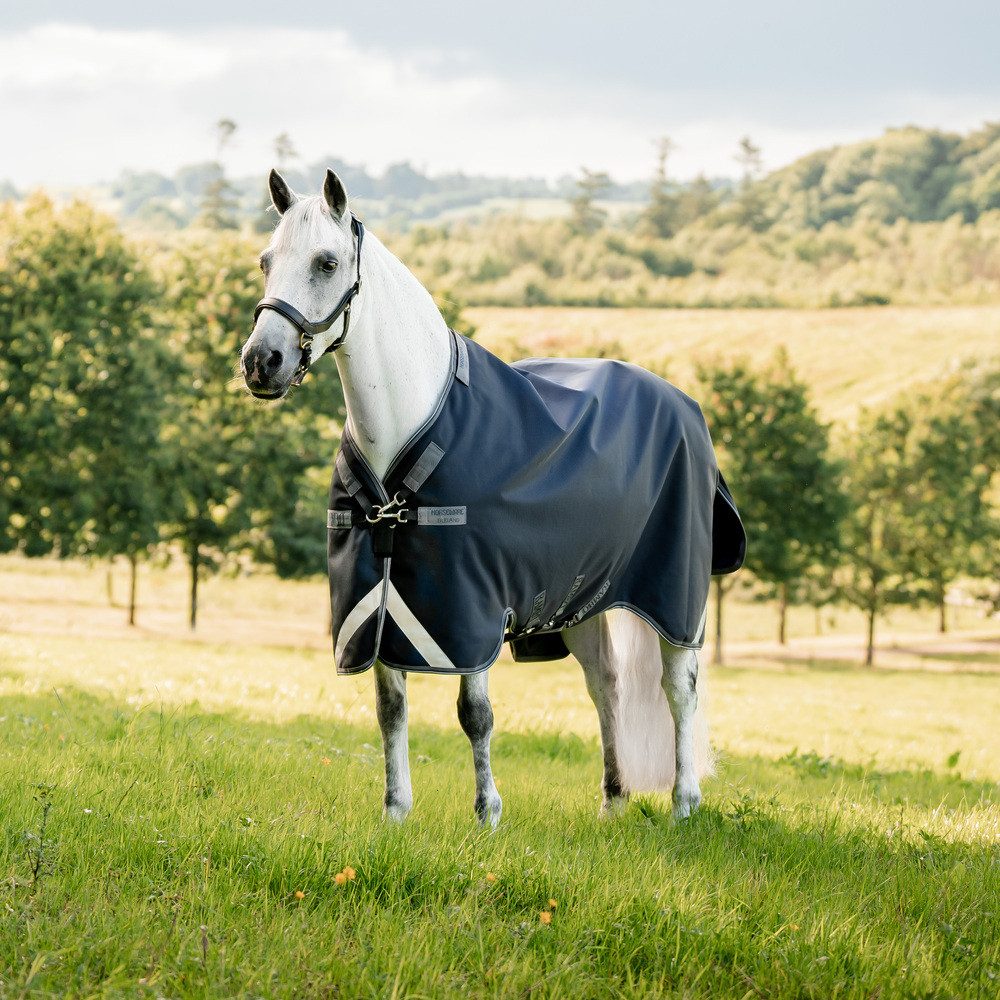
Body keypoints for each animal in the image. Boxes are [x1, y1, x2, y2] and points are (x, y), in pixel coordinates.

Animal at [240, 168, 745, 826]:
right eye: (266, 261)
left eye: (326, 263)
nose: (261, 362)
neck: (410, 427)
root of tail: (684, 405)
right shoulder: (382, 597)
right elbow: (390, 709)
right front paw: (395, 813)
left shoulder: (470, 605)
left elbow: (474, 715)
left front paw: (487, 814)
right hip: (588, 595)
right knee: (606, 685)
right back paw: (613, 801)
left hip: (675, 597)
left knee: (678, 689)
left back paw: (685, 802)